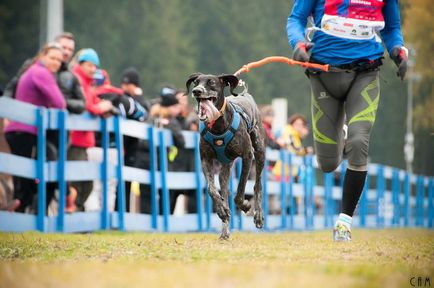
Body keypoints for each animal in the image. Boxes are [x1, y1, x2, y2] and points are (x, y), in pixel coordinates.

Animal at [186, 73, 264, 240]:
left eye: (211, 82)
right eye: (196, 82)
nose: (196, 91)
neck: (217, 126)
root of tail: (245, 95)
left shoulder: (247, 156)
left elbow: (240, 191)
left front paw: (245, 205)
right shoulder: (206, 160)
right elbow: (211, 189)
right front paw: (221, 210)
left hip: (260, 151)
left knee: (258, 185)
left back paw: (258, 215)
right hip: (225, 168)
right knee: (224, 190)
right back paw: (224, 227)